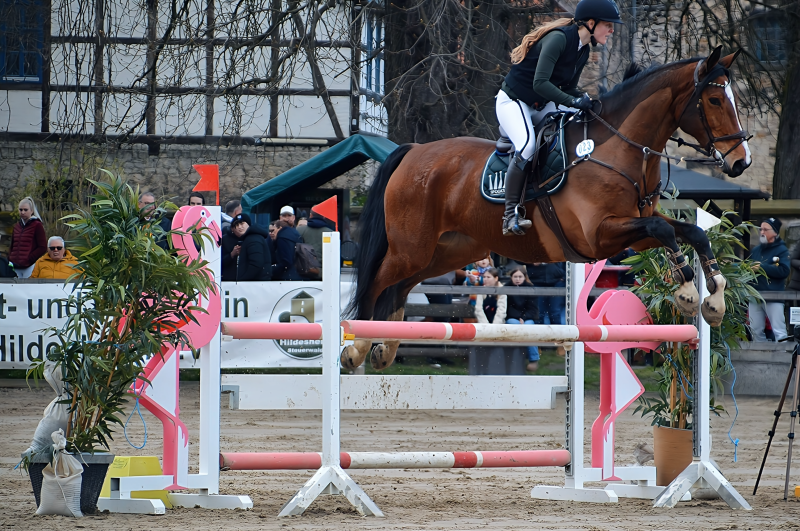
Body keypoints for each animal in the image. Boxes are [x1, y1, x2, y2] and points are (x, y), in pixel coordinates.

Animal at [344, 47, 752, 372]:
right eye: (714, 101)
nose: (740, 163)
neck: (618, 150)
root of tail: (413, 150)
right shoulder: (599, 235)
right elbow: (665, 231)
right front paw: (686, 293)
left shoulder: (634, 232)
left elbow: (691, 231)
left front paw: (715, 299)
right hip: (411, 248)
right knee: (376, 281)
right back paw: (357, 347)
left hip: (449, 250)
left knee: (400, 286)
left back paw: (385, 349)